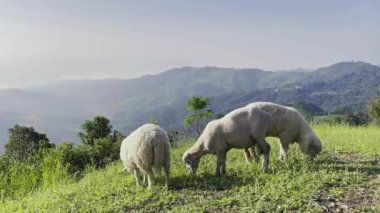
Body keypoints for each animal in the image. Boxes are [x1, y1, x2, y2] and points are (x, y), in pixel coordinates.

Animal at [181, 101, 320, 176]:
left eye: (188, 162)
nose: (190, 174)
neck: (203, 144)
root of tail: (266, 115)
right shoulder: (223, 150)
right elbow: (223, 162)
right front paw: (223, 172)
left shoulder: (219, 149)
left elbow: (218, 162)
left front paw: (216, 174)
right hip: (257, 137)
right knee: (260, 150)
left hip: (258, 134)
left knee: (266, 148)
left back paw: (264, 167)